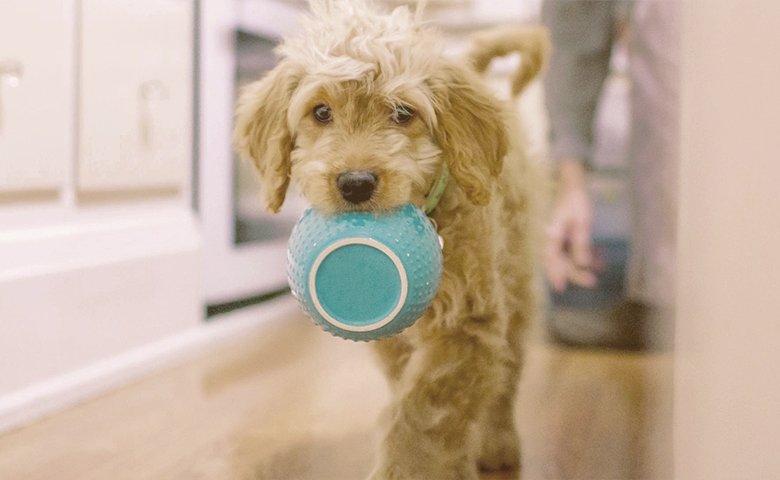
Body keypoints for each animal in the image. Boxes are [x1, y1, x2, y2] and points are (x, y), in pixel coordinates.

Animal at [236, 1, 548, 478]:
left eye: (403, 113)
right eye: (321, 112)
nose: (356, 183)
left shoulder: (468, 326)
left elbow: (421, 409)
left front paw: (404, 465)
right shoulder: (392, 339)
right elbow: (418, 397)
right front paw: (448, 461)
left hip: (515, 286)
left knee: (508, 373)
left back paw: (498, 442)